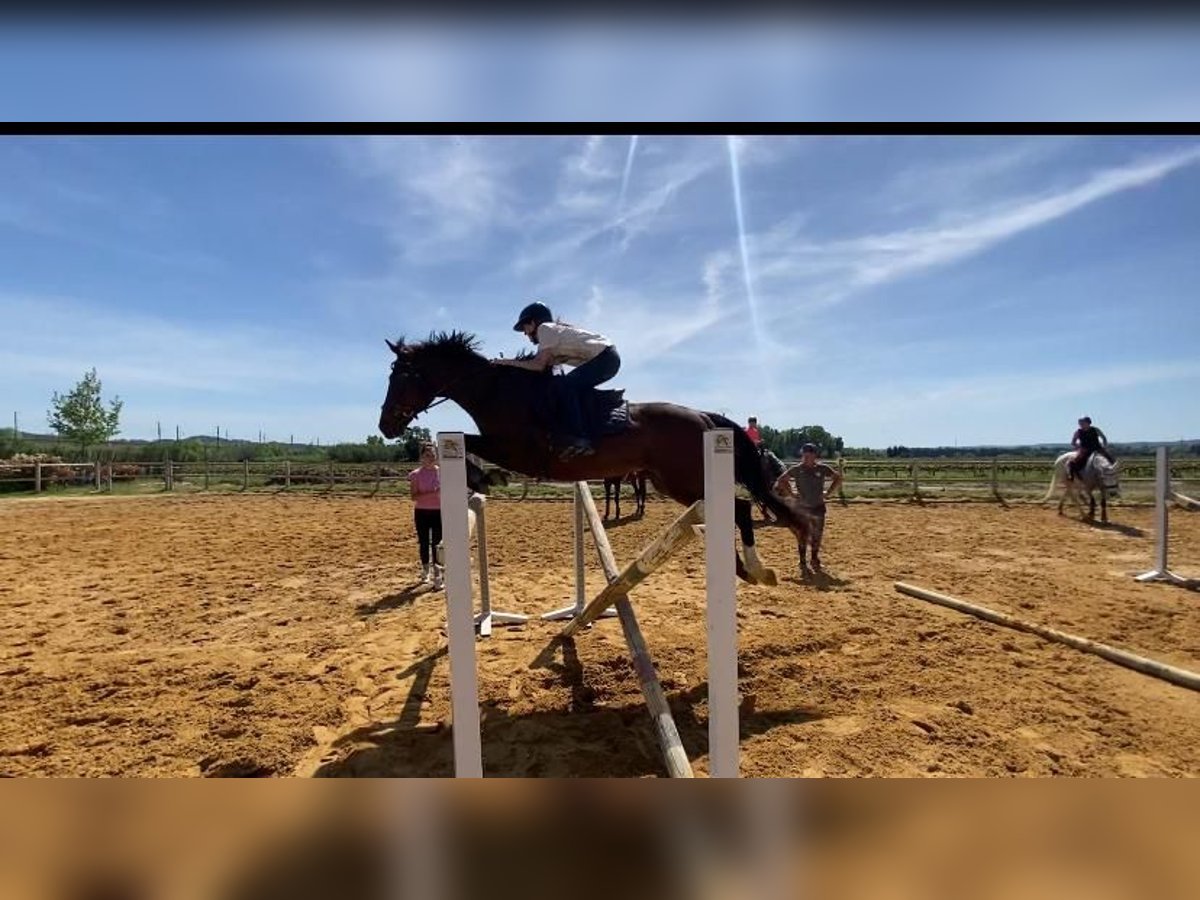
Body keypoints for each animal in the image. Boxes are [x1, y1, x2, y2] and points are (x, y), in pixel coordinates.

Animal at [379, 331, 811, 585]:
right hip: (675, 484)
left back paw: (756, 568)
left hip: (687, 480)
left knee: (741, 508)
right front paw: (485, 478)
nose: (385, 425)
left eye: (401, 376)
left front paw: (486, 478)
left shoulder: (518, 450)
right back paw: (744, 568)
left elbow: (467, 443)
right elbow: (464, 443)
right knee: (735, 509)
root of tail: (704, 416)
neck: (499, 392)